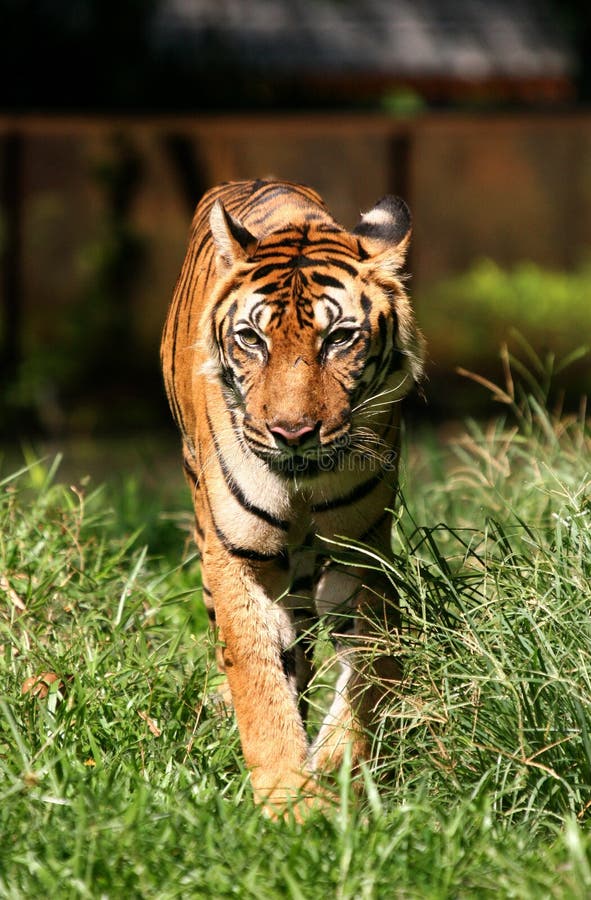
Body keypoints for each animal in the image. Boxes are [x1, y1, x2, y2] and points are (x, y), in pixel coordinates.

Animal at [161, 178, 426, 816]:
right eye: (251, 339)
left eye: (340, 338)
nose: (292, 433)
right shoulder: (237, 560)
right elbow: (258, 679)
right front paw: (291, 803)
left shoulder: (363, 553)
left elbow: (373, 668)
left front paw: (338, 767)